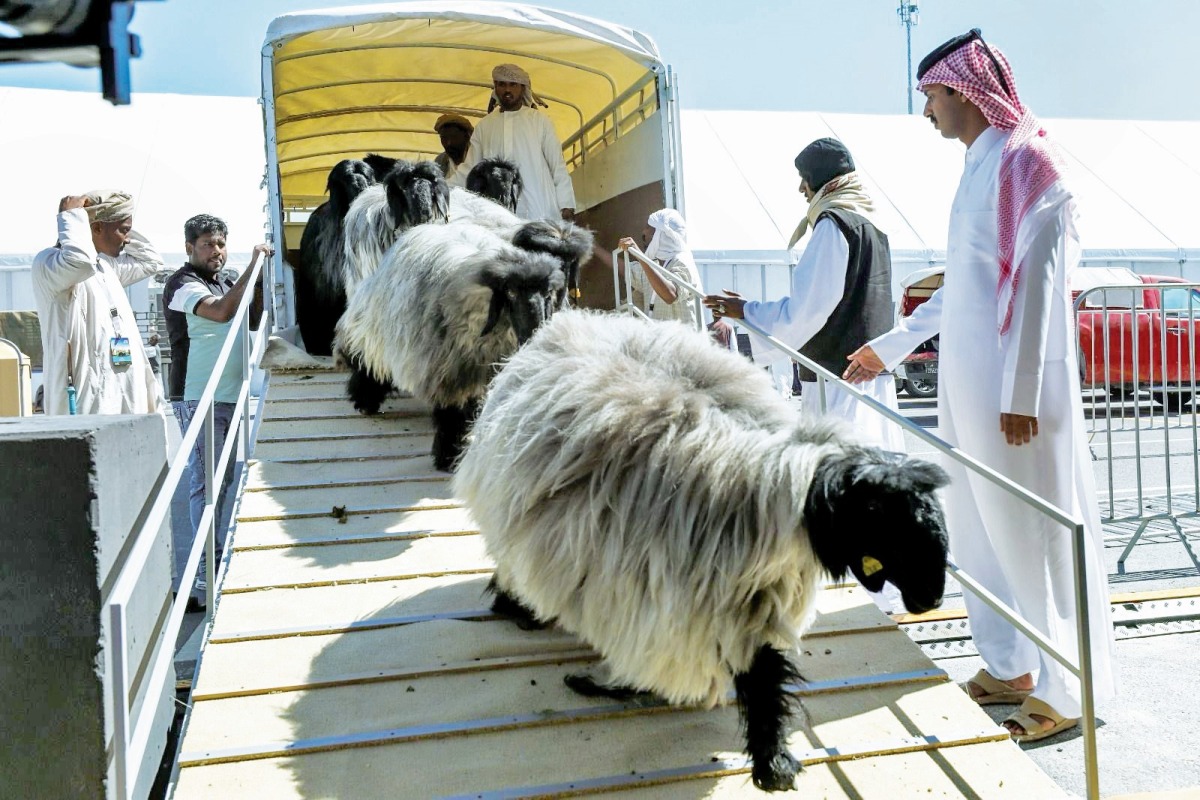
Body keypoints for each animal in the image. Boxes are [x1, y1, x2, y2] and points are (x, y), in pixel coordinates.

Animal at [333, 219, 576, 470]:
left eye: (547, 293)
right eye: (510, 291)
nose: (535, 330)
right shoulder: (449, 370)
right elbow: (452, 414)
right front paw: (449, 457)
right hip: (377, 329)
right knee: (369, 360)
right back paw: (364, 400)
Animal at [453, 309, 950, 791]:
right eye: (883, 517)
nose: (931, 598)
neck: (757, 487)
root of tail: (572, 322)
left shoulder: (748, 601)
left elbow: (762, 673)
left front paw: (773, 763)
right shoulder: (652, 593)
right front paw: (610, 685)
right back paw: (515, 606)